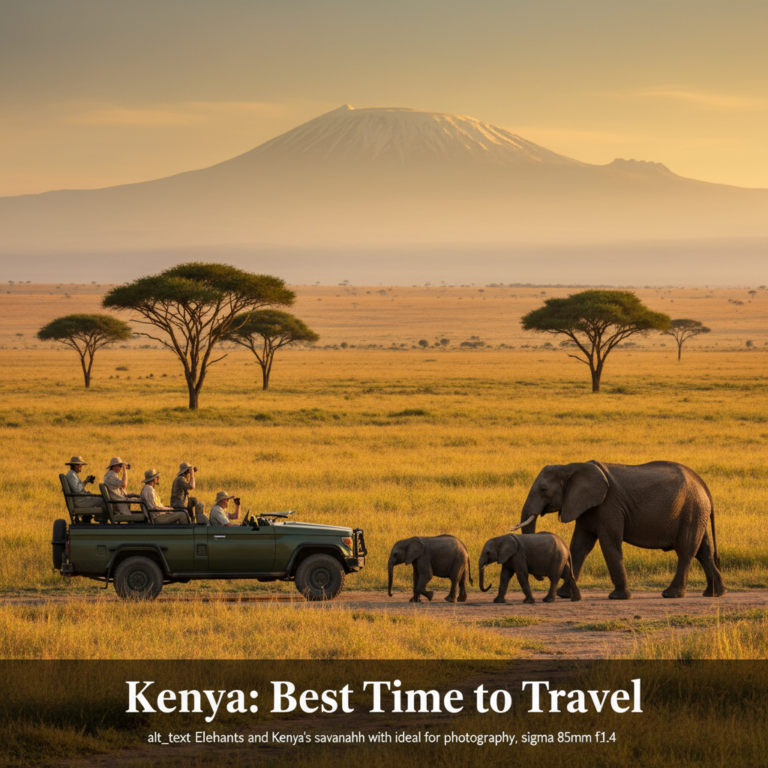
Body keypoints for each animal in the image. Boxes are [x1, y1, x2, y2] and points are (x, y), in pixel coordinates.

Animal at [517, 460, 726, 600]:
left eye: (543, 489)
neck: (570, 467)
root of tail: (704, 485)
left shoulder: (608, 505)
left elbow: (609, 543)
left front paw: (618, 597)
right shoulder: (586, 505)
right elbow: (579, 546)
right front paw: (564, 595)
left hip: (691, 510)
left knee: (686, 550)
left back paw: (671, 594)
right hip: (696, 512)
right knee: (703, 551)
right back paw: (714, 593)